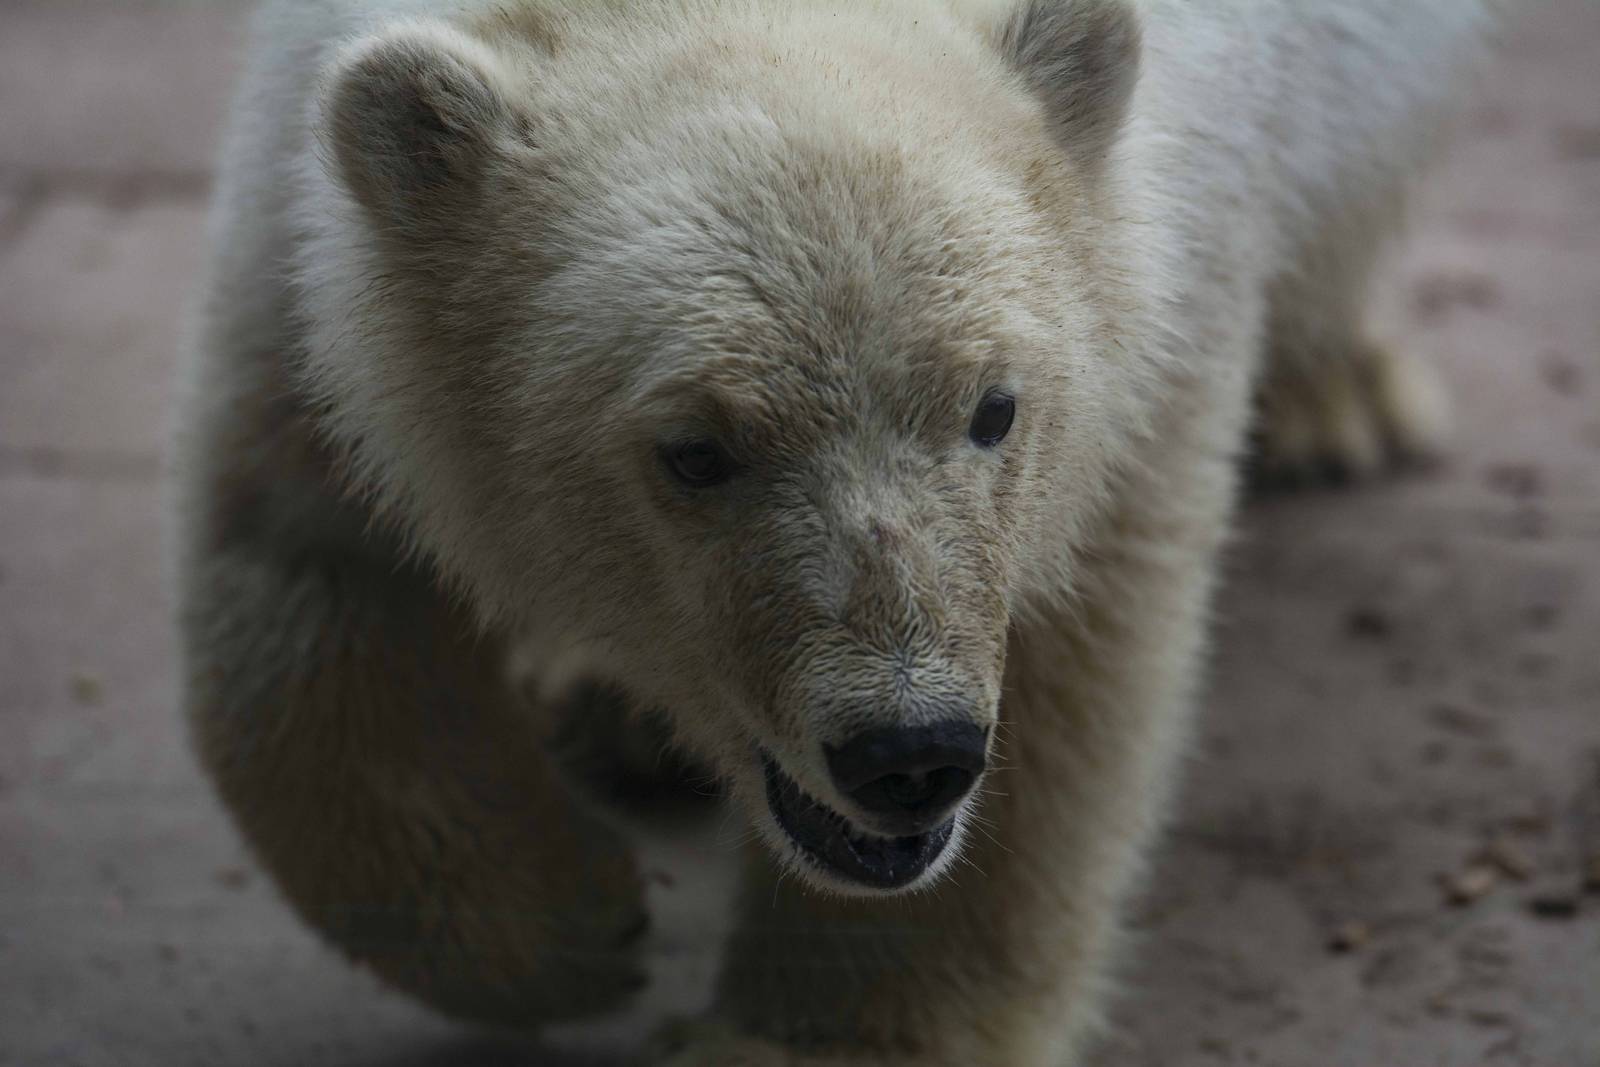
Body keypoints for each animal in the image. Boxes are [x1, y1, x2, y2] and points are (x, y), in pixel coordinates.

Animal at [173, 0, 1490, 1062]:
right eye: (694, 450)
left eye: (994, 407)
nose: (907, 750)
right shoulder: (313, 220)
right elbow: (299, 555)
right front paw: (566, 922)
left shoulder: (1158, 275)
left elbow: (1075, 640)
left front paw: (797, 1036)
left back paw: (1336, 396)